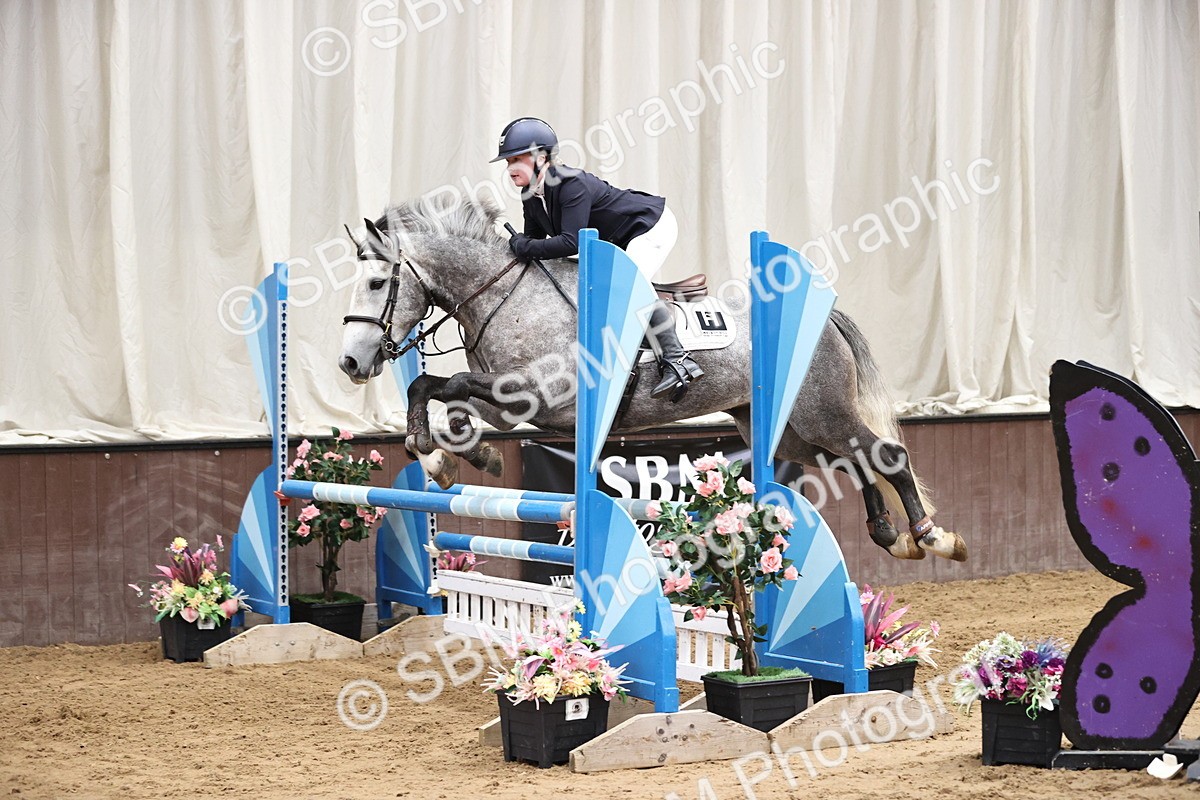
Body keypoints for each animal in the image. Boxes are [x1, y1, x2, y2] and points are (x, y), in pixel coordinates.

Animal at [337, 193, 967, 562]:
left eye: (376, 284)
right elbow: (439, 392)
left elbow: (448, 386)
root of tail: (824, 317)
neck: (503, 297)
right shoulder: (512, 403)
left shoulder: (544, 399)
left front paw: (447, 455)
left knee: (883, 453)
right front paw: (449, 458)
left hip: (821, 413)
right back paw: (888, 533)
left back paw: (933, 537)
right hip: (785, 431)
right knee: (853, 461)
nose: (350, 365)